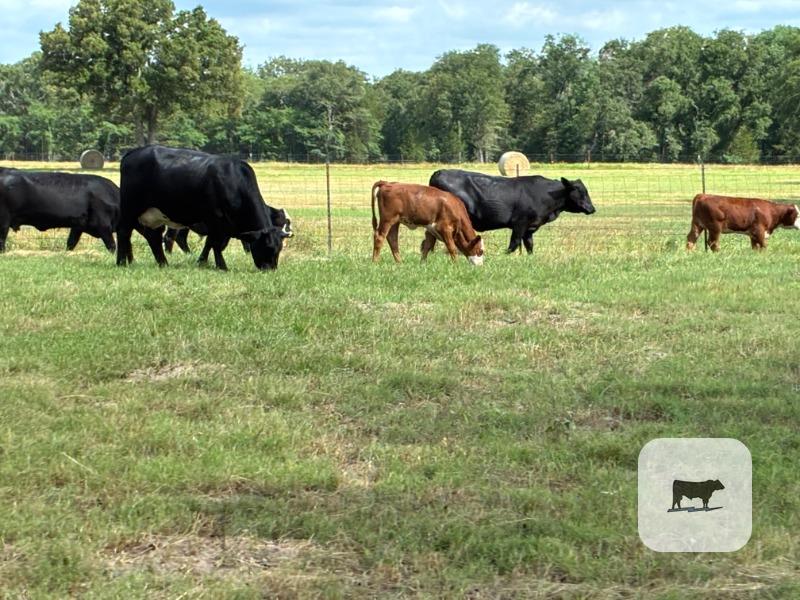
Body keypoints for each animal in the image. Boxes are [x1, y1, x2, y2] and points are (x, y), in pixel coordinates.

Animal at [116, 146, 290, 271]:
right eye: (267, 246)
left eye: (279, 248)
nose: (270, 269)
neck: (234, 182)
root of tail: (134, 152)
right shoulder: (214, 219)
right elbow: (215, 243)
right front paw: (221, 266)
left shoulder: (224, 226)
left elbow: (211, 243)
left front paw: (202, 261)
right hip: (130, 208)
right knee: (124, 232)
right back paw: (121, 262)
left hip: (155, 214)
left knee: (154, 237)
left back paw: (163, 263)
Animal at [429, 169, 596, 254]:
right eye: (580, 191)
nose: (592, 208)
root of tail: (439, 172)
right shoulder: (520, 224)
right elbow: (514, 244)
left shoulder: (529, 228)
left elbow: (529, 245)